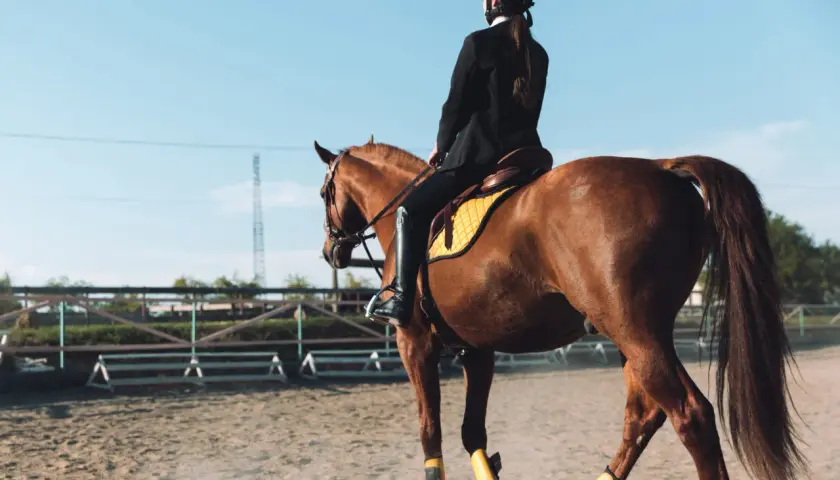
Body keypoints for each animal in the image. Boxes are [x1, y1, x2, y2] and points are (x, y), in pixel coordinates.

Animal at [313, 136, 805, 480]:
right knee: (643, 416)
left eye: (323, 193)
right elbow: (473, 433)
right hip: (637, 337)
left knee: (691, 416)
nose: (329, 251)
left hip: (636, 334)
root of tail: (659, 166)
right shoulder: (478, 351)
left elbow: (429, 432)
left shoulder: (414, 343)